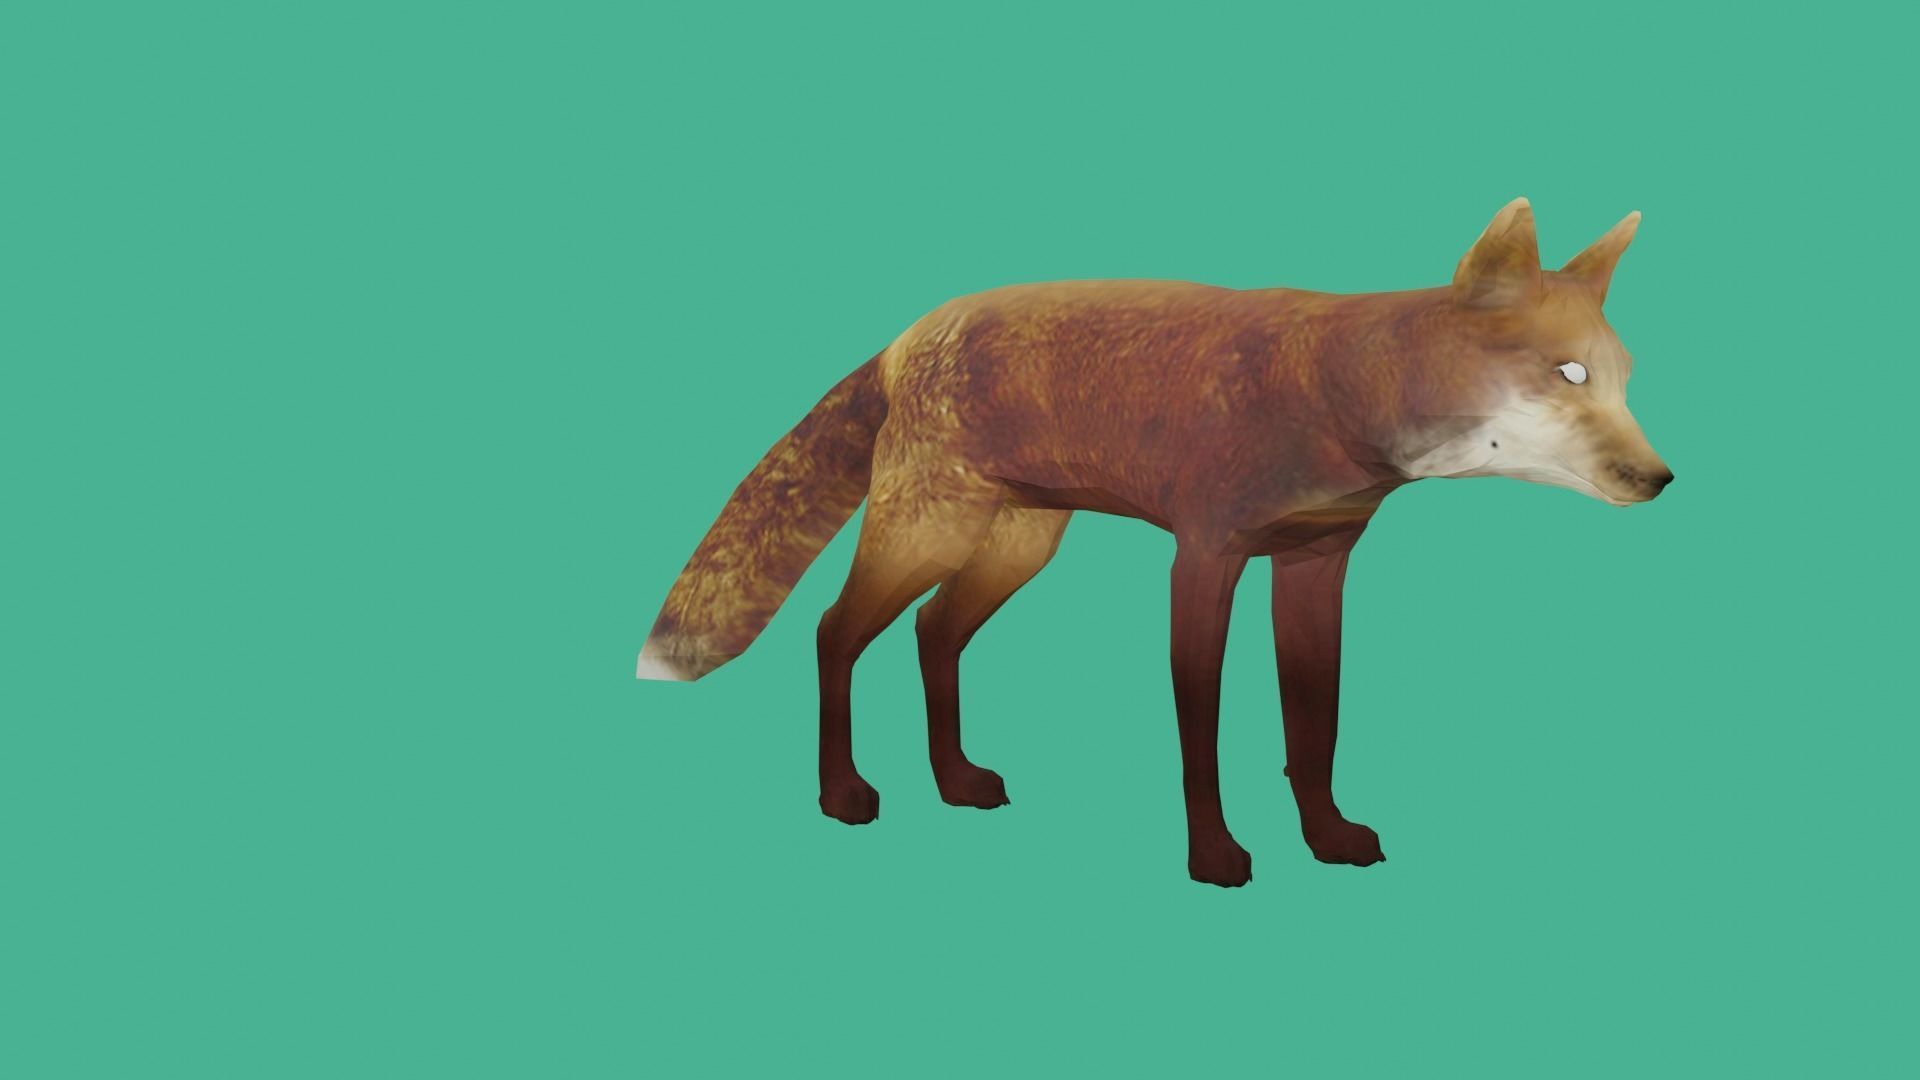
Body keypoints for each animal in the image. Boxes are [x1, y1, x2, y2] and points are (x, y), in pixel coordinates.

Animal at [637, 198, 1674, 887]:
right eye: (1568, 374)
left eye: (1625, 378)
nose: (1661, 478)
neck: (1334, 390)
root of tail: (905, 336)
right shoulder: (1205, 559)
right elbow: (1201, 735)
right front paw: (1214, 856)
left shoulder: (1313, 562)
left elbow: (1315, 728)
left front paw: (1326, 837)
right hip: (928, 533)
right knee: (833, 631)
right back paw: (843, 792)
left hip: (1014, 548)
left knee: (933, 633)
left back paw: (955, 780)